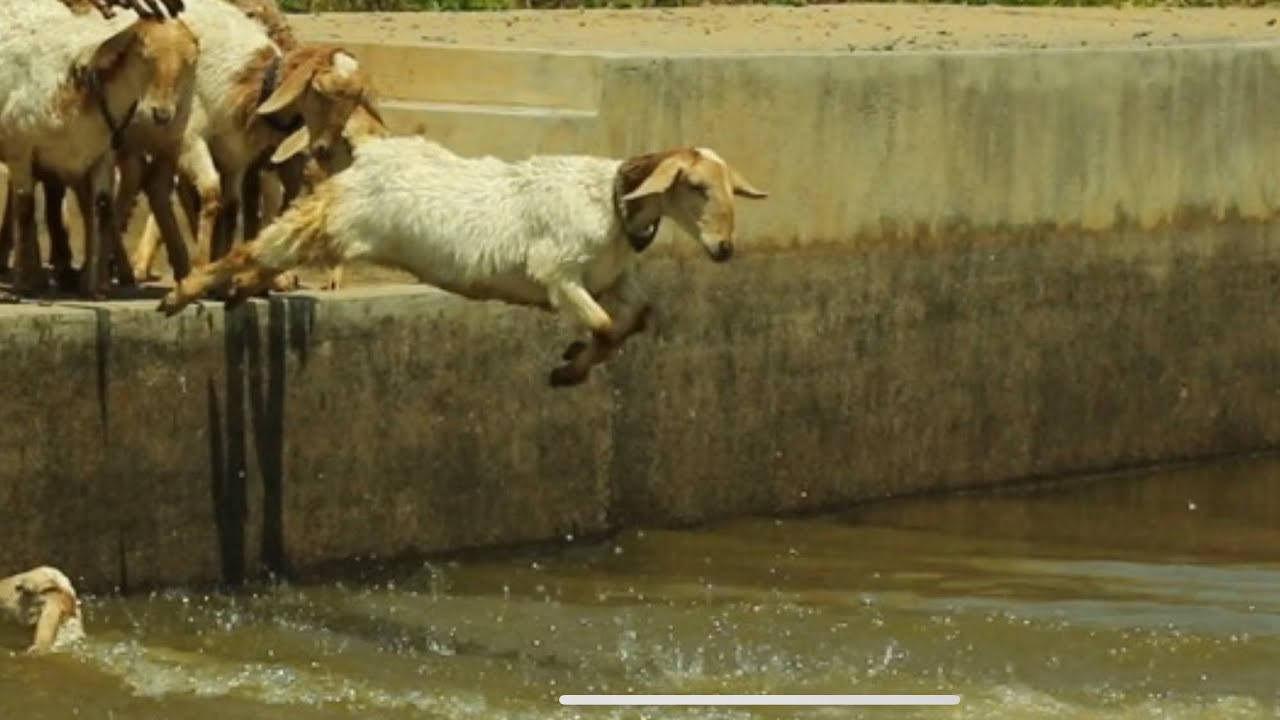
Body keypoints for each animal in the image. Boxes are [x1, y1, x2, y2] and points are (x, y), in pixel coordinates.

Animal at [0, 3, 201, 297]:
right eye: (146, 55)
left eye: (189, 62)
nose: (162, 114)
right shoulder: (21, 151)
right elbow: (25, 210)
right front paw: (23, 285)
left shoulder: (101, 157)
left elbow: (101, 209)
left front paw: (94, 287)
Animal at [157, 137, 768, 387]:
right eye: (695, 187)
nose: (724, 248)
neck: (611, 200)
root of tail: (365, 155)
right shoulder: (557, 271)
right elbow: (601, 326)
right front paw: (568, 368)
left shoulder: (612, 277)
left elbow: (636, 319)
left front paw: (571, 360)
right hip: (331, 216)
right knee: (253, 247)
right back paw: (182, 292)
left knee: (264, 258)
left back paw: (237, 291)